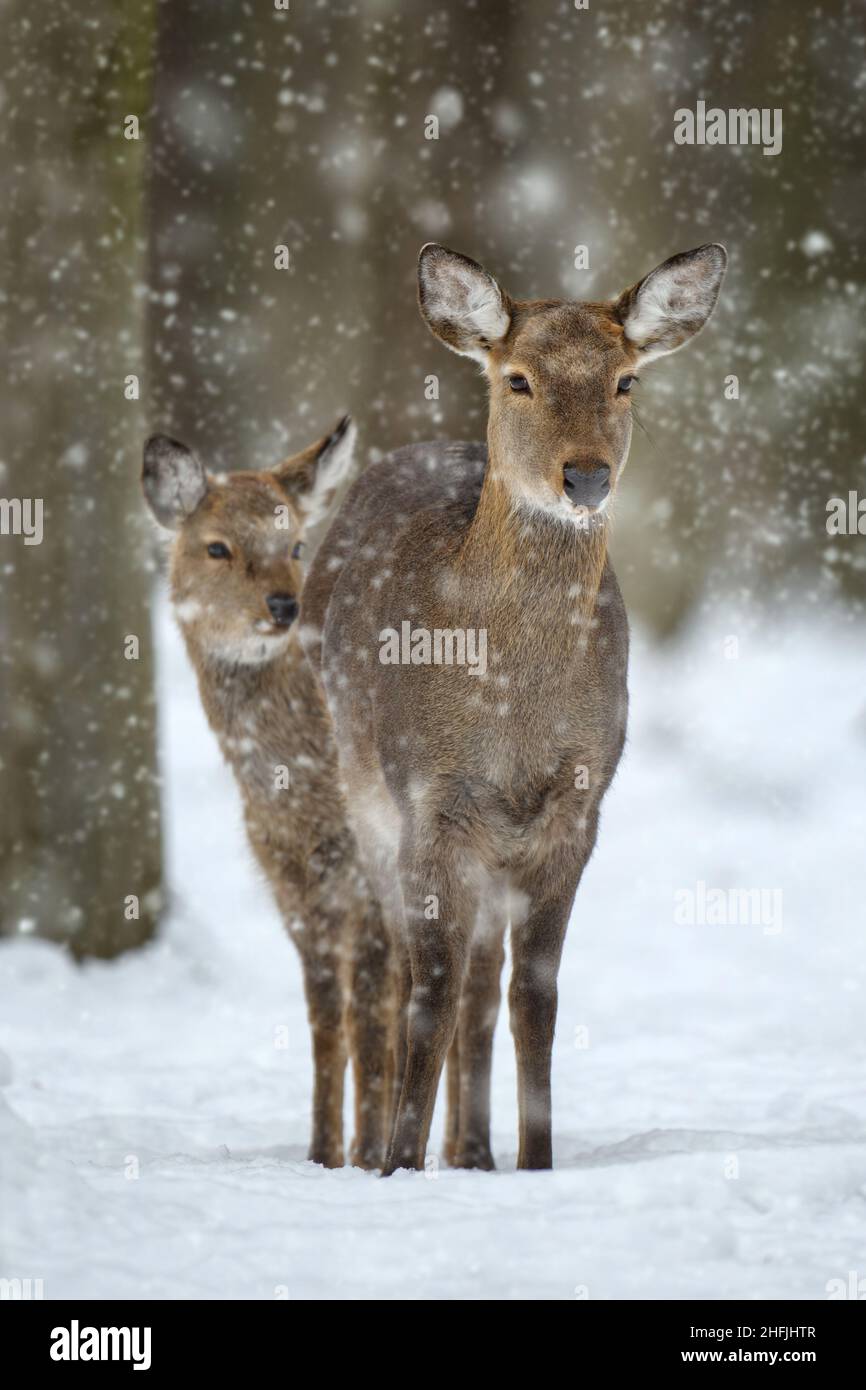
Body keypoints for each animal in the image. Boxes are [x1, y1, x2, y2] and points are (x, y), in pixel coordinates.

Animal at [142, 417, 391, 1167]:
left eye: (298, 543)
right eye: (217, 546)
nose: (285, 604)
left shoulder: (372, 873)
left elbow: (372, 1017)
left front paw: (372, 1156)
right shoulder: (290, 881)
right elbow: (325, 1018)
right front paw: (323, 1153)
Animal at [301, 241, 728, 1173]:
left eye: (625, 380)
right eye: (519, 379)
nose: (587, 475)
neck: (512, 713)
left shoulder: (575, 808)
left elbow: (537, 994)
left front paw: (537, 1163)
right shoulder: (430, 802)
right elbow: (428, 990)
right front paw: (396, 1165)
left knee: (484, 983)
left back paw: (474, 1152)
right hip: (364, 798)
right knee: (403, 968)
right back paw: (391, 1147)